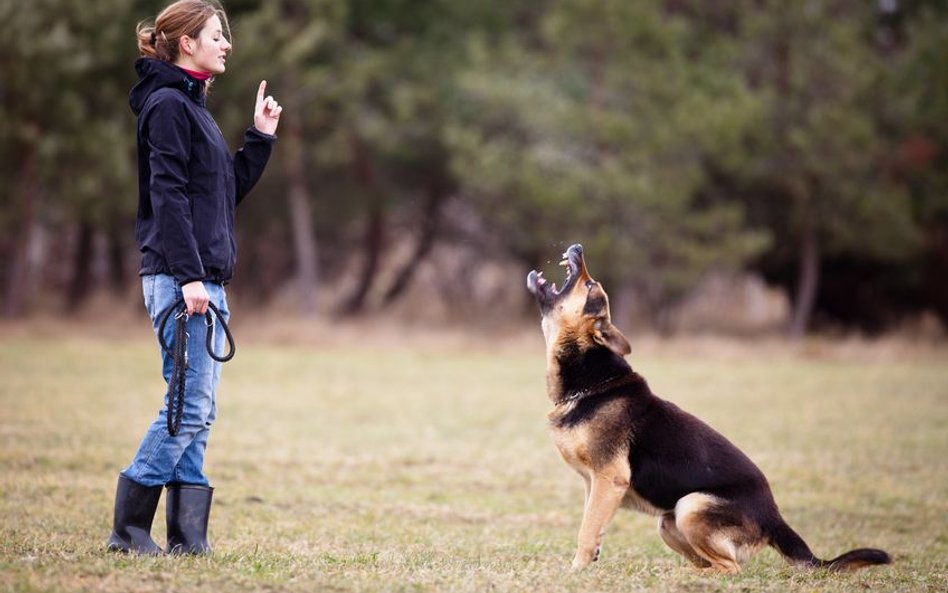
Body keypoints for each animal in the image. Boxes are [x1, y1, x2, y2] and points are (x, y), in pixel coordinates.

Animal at [524, 243, 888, 572]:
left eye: (590, 286)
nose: (577, 247)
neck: (591, 381)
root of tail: (774, 517)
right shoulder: (594, 485)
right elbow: (591, 524)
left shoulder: (608, 479)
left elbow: (586, 531)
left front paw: (576, 570)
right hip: (669, 523)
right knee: (711, 563)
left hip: (691, 506)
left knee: (732, 568)